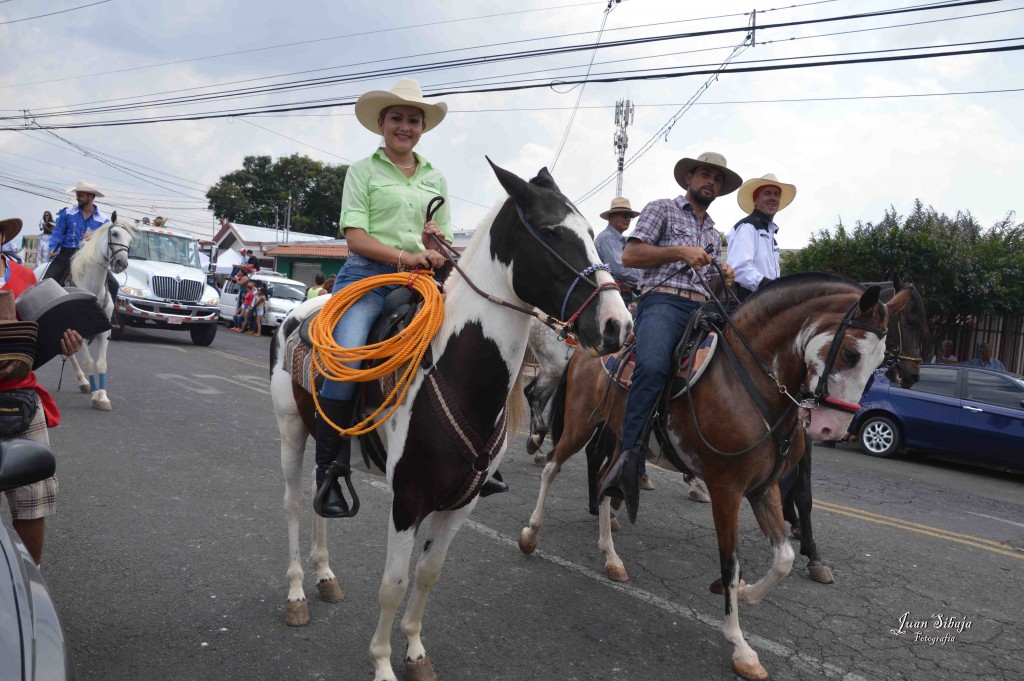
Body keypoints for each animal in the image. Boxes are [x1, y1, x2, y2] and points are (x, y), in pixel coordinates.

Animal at [266, 160, 630, 679]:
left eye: (593, 232)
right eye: (549, 232)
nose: (618, 325)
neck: (454, 369)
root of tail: (302, 310)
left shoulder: (462, 502)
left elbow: (428, 575)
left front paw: (416, 652)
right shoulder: (408, 500)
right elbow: (393, 584)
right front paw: (382, 664)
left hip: (329, 438)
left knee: (323, 491)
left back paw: (325, 577)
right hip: (290, 431)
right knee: (295, 504)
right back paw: (297, 593)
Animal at [516, 274, 909, 675]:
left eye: (881, 362)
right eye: (851, 354)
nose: (833, 429)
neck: (749, 384)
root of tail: (587, 346)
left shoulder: (763, 488)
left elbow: (783, 559)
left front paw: (746, 592)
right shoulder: (726, 488)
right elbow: (730, 562)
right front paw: (741, 646)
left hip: (618, 437)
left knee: (605, 484)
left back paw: (612, 557)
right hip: (580, 422)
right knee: (552, 467)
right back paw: (531, 532)